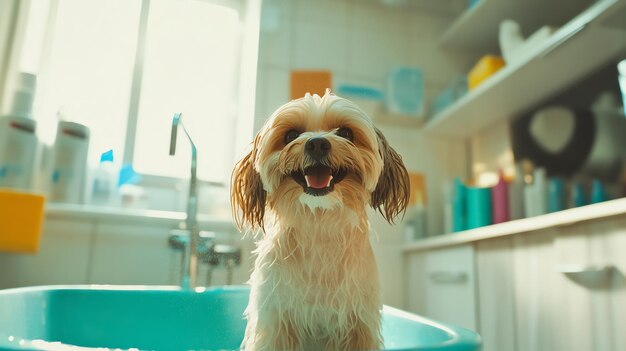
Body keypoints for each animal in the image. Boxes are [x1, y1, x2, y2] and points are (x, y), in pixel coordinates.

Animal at [230, 91, 410, 351]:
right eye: (291, 135)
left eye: (345, 133)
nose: (317, 143)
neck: (319, 227)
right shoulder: (276, 322)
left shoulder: (357, 325)